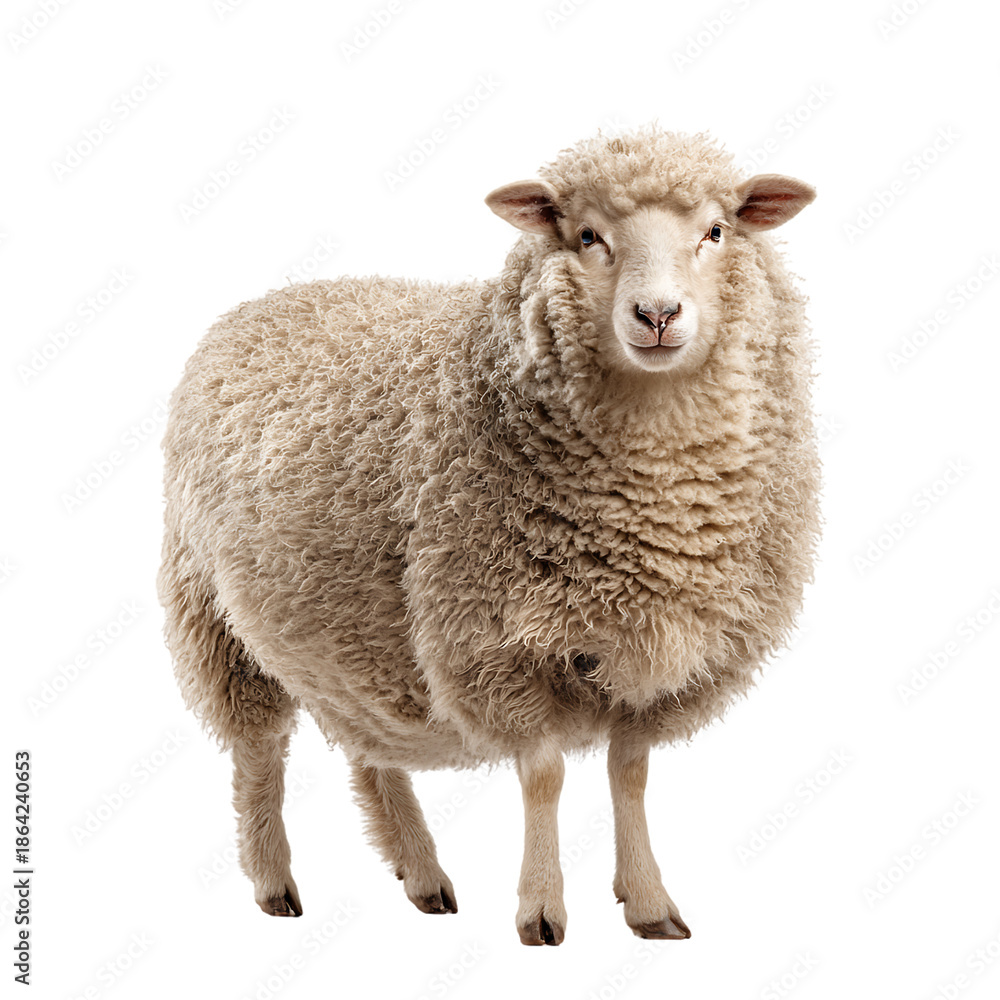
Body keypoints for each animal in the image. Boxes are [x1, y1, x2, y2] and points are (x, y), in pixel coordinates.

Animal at [157, 125, 819, 946]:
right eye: (587, 236)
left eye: (717, 231)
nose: (658, 314)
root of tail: (268, 300)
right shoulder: (494, 639)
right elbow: (545, 775)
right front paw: (541, 910)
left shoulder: (656, 647)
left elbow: (629, 774)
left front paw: (648, 902)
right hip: (211, 608)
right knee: (258, 750)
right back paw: (273, 881)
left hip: (350, 616)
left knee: (367, 745)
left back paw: (421, 874)